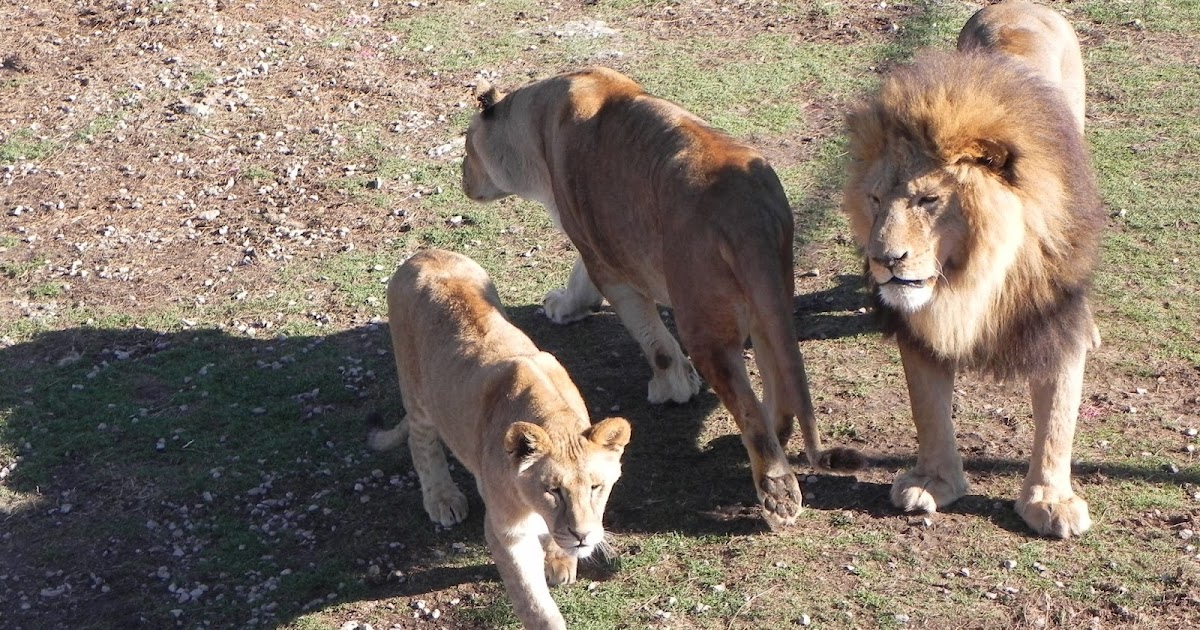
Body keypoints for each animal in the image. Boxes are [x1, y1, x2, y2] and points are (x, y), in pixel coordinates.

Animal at [369, 248, 633, 624]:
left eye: (597, 487)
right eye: (553, 491)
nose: (583, 536)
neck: (555, 419)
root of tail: (425, 254)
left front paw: (560, 559)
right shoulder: (506, 533)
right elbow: (534, 605)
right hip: (416, 389)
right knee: (421, 442)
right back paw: (442, 498)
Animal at [458, 66, 864, 530]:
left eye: (466, 147)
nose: (463, 179)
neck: (537, 122)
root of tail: (745, 211)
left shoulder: (605, 258)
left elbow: (650, 334)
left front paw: (672, 386)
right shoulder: (600, 241)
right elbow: (585, 278)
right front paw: (567, 306)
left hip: (704, 324)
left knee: (748, 410)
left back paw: (777, 495)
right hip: (770, 295)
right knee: (776, 377)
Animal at [844, 49, 1104, 537]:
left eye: (928, 200)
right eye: (875, 199)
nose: (884, 259)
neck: (975, 277)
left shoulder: (1055, 320)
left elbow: (1058, 420)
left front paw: (1051, 500)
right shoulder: (919, 328)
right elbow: (928, 409)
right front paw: (934, 481)